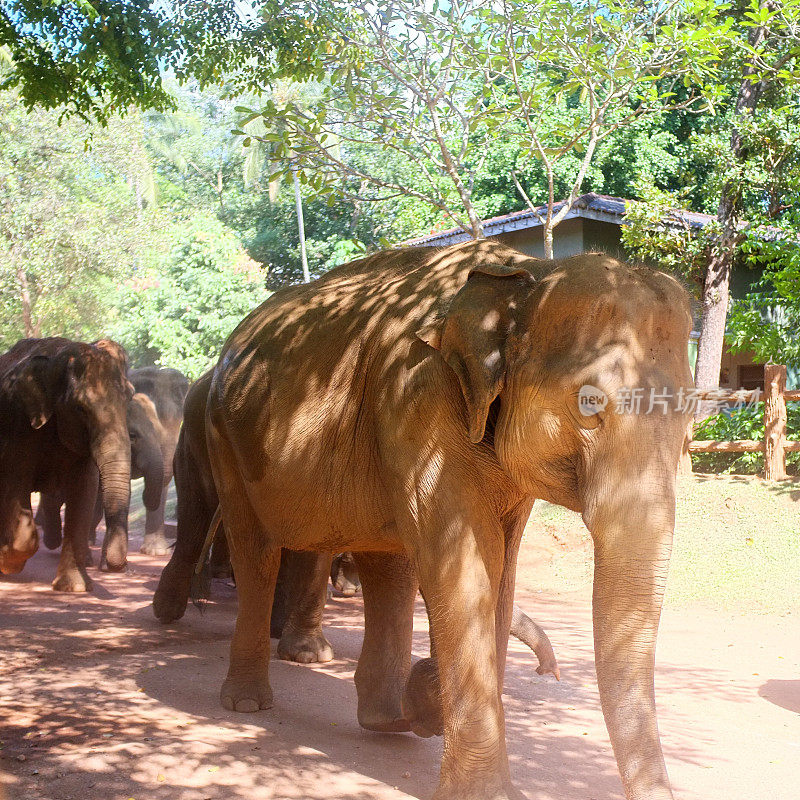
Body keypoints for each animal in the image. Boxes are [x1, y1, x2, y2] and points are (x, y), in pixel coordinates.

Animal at [0, 334, 133, 592]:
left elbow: (84, 490)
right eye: (80, 408)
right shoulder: (17, 426)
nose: (117, 567)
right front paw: (9, 564)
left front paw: (74, 588)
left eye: (130, 399)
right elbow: (15, 482)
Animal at [203, 241, 692, 800]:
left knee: (387, 563)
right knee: (257, 555)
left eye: (692, 420)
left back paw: (386, 715)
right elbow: (469, 562)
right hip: (224, 439)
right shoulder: (416, 391)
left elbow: (500, 569)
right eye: (590, 407)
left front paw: (430, 699)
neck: (526, 273)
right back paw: (248, 704)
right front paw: (478, 779)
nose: (548, 673)